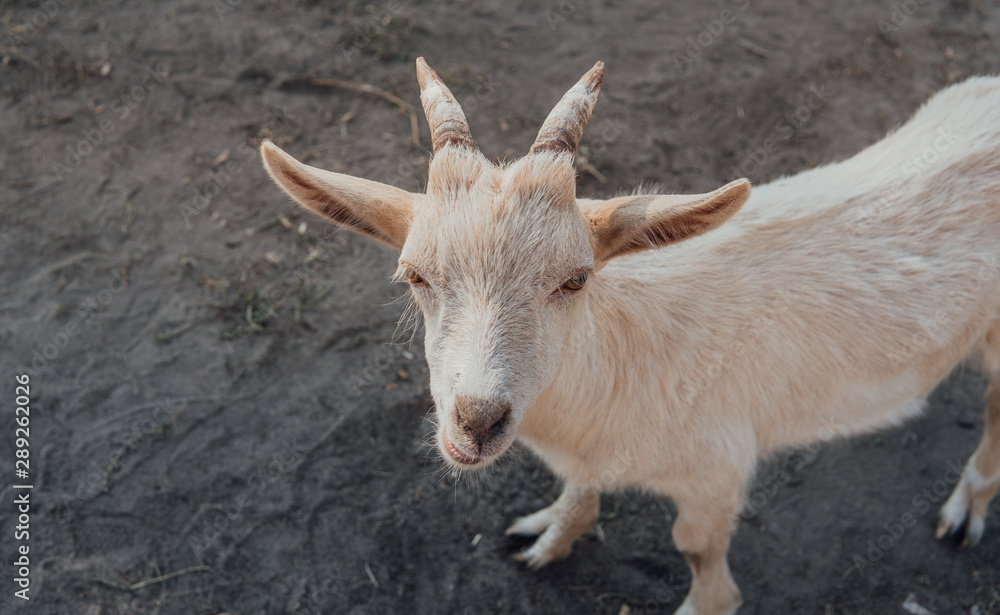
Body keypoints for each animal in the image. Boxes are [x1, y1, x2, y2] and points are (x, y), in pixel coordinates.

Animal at [260, 59, 1000, 615]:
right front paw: (552, 535)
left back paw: (966, 508)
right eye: (414, 274)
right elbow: (579, 491)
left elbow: (701, 558)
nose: (476, 420)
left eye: (575, 279)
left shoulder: (717, 471)